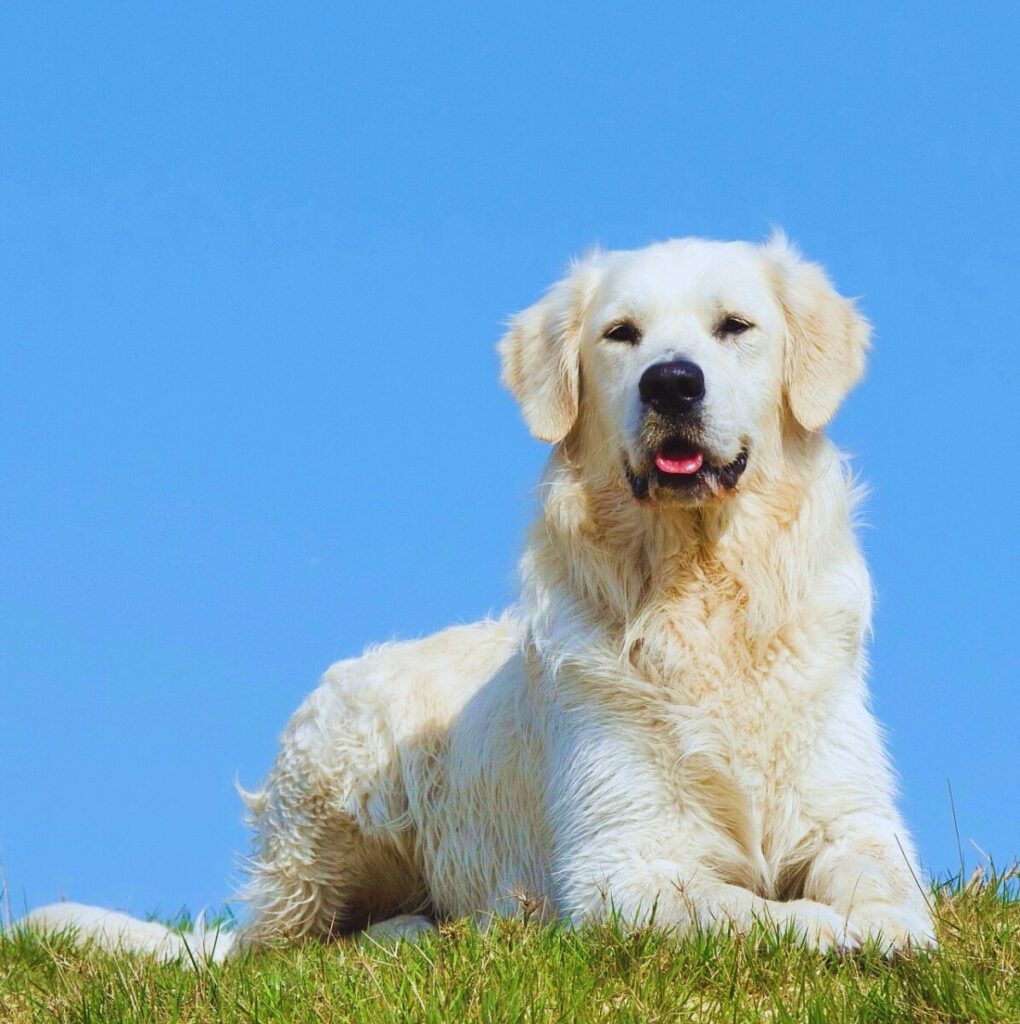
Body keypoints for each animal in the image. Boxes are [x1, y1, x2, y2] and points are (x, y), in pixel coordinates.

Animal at [21, 235, 933, 954]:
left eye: (734, 327)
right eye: (621, 334)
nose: (672, 383)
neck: (699, 591)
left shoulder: (851, 816)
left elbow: (882, 878)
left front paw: (889, 923)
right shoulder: (622, 863)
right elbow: (744, 910)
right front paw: (834, 931)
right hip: (342, 772)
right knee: (294, 947)